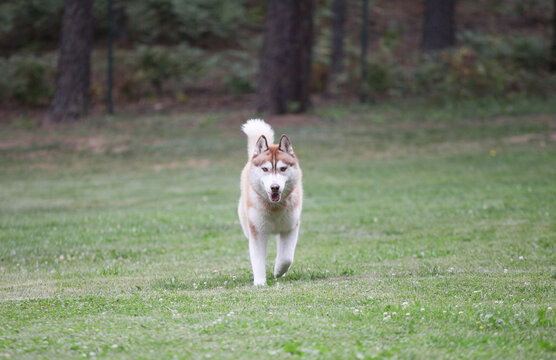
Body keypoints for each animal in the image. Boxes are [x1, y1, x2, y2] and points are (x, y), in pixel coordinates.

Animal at [237, 119, 302, 286]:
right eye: (265, 169)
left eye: (283, 168)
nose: (275, 187)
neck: (274, 208)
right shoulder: (257, 232)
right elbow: (258, 260)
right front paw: (260, 282)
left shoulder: (290, 228)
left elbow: (286, 257)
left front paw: (278, 271)